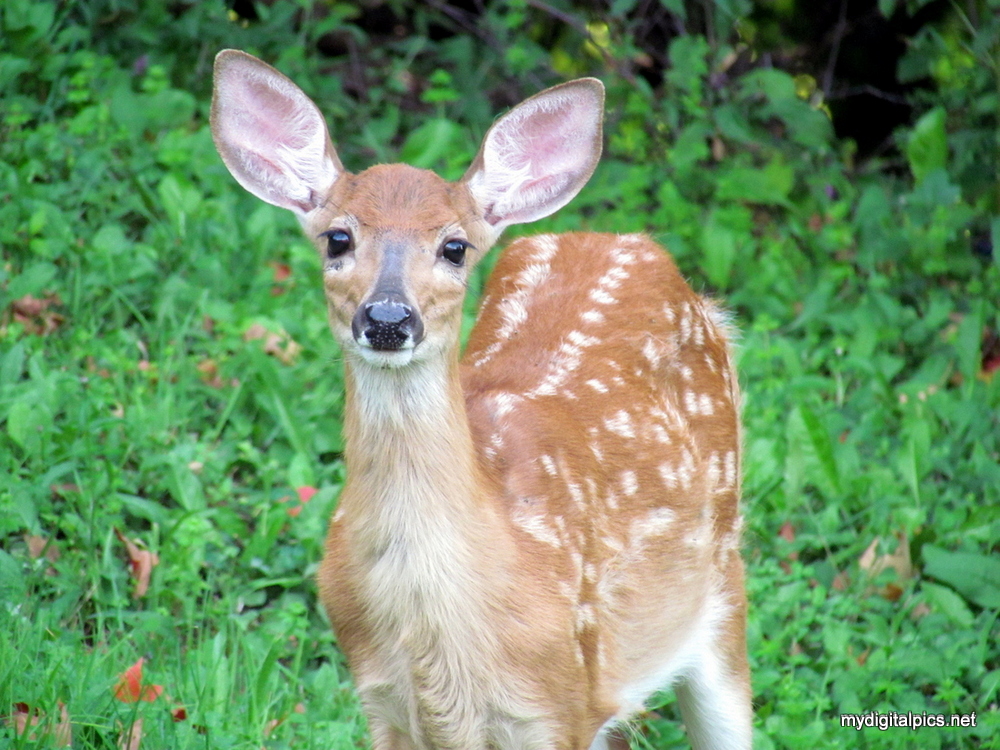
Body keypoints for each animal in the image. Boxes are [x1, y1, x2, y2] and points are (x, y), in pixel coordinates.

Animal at [210, 49, 751, 750]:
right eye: (337, 239)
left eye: (454, 247)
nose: (388, 318)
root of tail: (629, 241)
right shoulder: (383, 704)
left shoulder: (558, 705)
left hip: (723, 587)